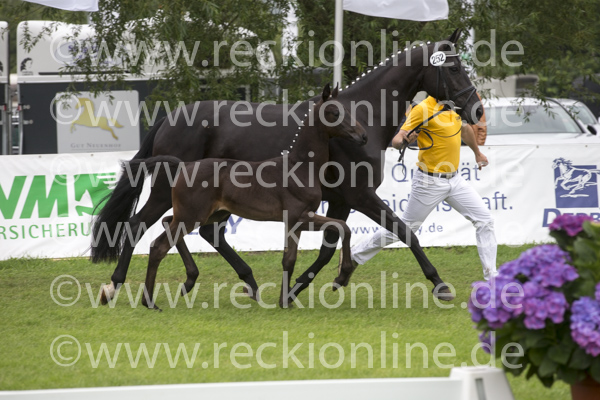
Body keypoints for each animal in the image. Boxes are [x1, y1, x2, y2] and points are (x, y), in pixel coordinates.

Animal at [123, 84, 366, 309]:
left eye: (348, 110)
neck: (301, 167)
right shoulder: (299, 216)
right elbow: (333, 233)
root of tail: (185, 165)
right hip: (192, 215)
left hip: (206, 214)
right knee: (158, 246)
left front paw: (288, 298)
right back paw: (149, 301)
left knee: (168, 223)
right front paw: (339, 277)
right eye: (334, 112)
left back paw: (188, 282)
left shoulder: (297, 221)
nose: (362, 136)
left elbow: (300, 252)